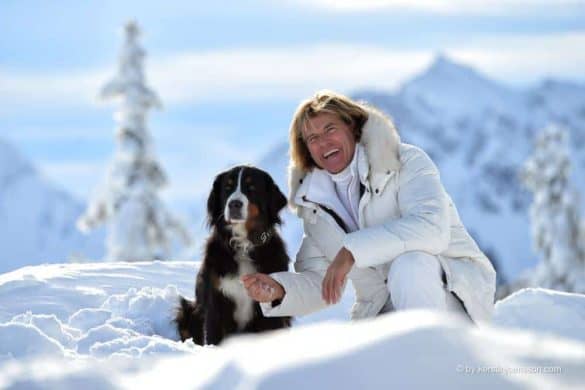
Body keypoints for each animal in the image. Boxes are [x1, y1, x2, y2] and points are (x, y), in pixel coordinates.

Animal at [175, 165, 290, 344]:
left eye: (251, 188)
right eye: (227, 188)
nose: (234, 204)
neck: (243, 245)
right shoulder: (215, 303)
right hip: (188, 311)